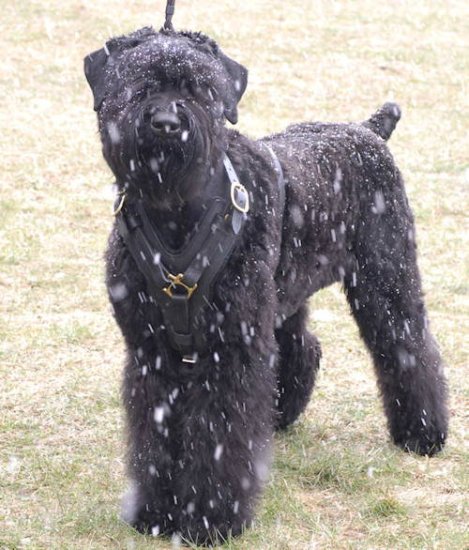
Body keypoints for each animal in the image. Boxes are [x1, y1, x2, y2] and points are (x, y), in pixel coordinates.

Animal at [83, 24, 446, 544]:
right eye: (139, 83)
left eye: (201, 87)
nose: (167, 123)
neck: (176, 217)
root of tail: (368, 130)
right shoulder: (151, 351)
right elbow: (156, 435)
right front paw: (157, 512)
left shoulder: (230, 350)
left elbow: (219, 435)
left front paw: (211, 520)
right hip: (284, 298)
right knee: (304, 346)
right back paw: (280, 416)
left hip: (387, 278)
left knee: (408, 343)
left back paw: (423, 433)